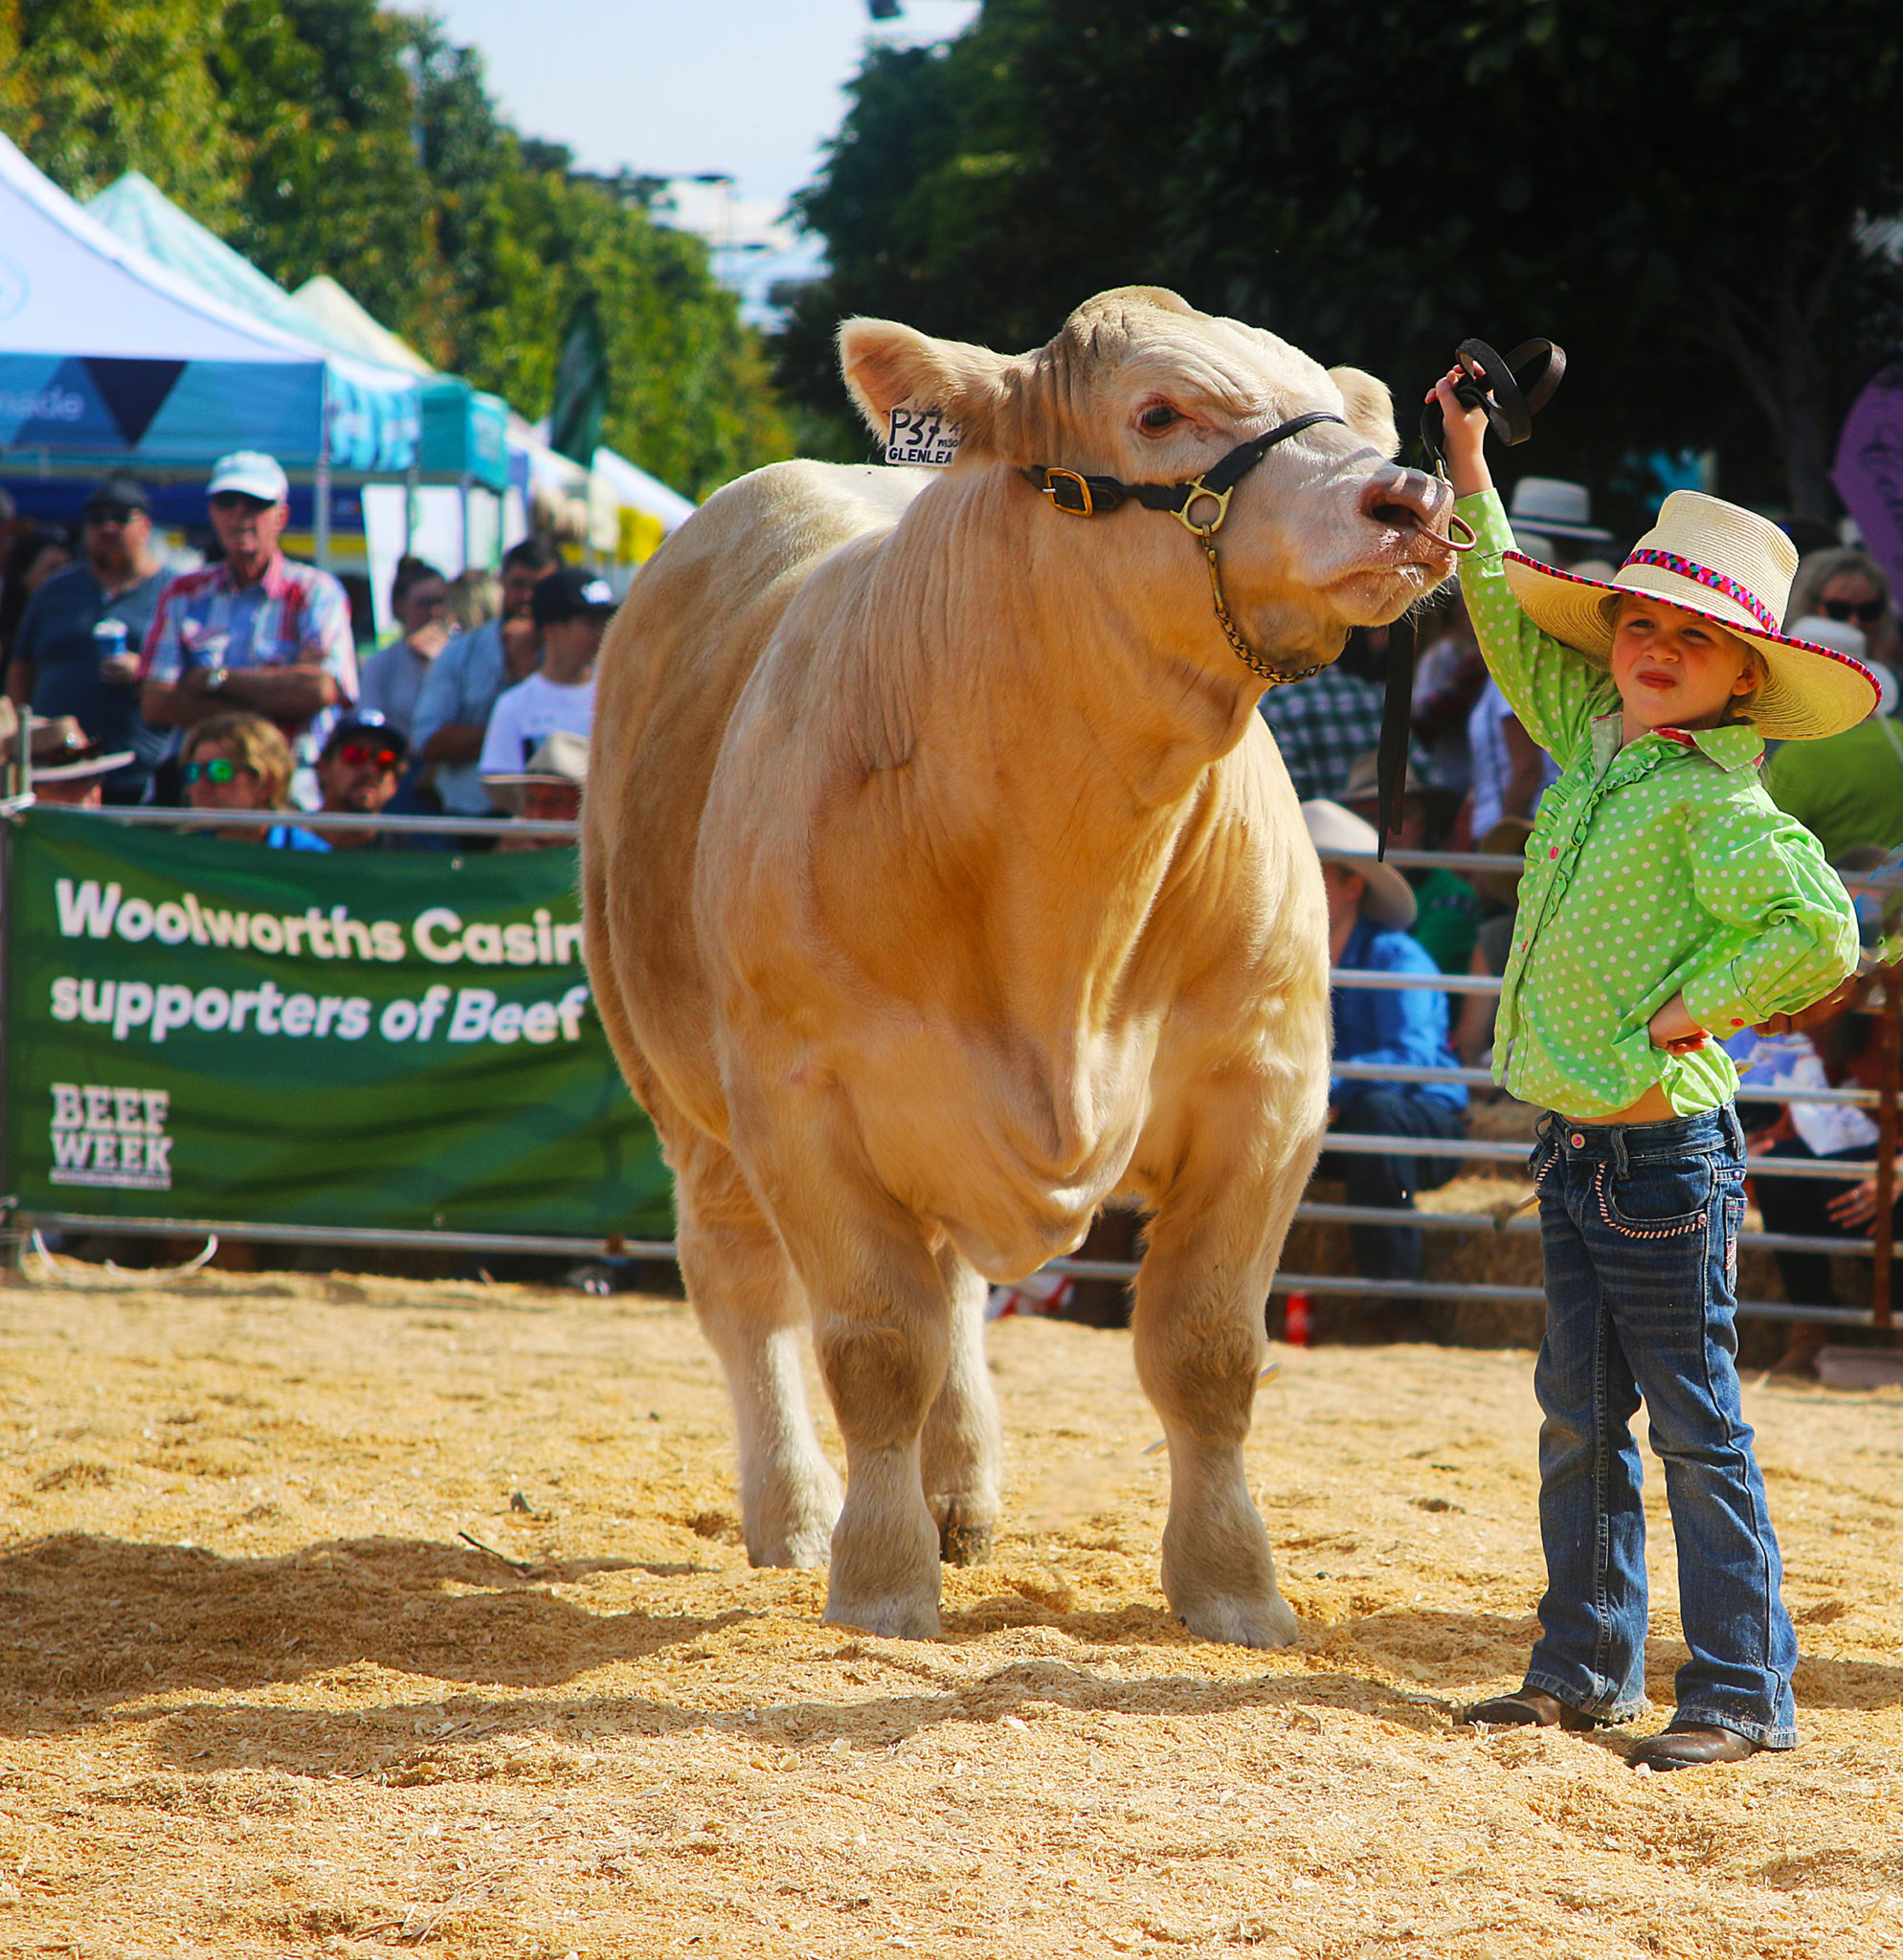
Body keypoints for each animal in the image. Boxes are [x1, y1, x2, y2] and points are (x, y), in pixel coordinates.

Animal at [582, 288, 1456, 1644]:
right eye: (1158, 411)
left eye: (1343, 407)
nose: (1407, 497)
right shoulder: (799, 1100)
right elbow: (872, 1344)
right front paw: (880, 1579)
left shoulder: (1270, 1087)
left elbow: (1204, 1351)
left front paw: (1232, 1589)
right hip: (680, 1090)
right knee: (746, 1291)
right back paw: (795, 1513)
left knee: (952, 1295)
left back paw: (961, 1495)